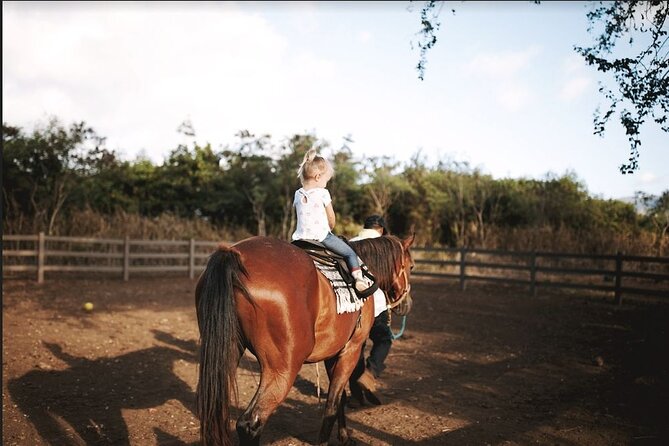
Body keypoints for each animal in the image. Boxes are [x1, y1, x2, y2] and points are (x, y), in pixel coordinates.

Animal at [195, 234, 415, 446]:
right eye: (411, 266)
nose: (406, 304)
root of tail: (235, 255)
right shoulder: (351, 350)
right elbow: (332, 403)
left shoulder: (333, 353)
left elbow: (340, 397)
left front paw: (343, 434)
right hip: (283, 369)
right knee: (250, 423)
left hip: (226, 356)